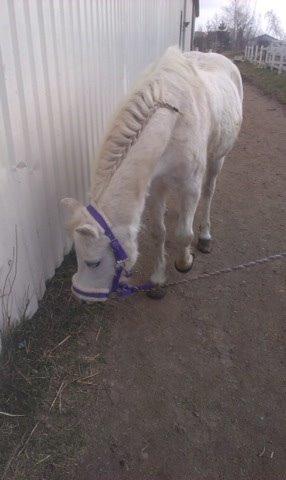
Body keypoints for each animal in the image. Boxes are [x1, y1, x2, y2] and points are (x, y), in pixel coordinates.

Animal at [61, 45, 242, 300]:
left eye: (93, 262)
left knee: (208, 193)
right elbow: (159, 232)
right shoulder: (156, 185)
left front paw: (184, 262)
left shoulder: (190, 185)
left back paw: (205, 236)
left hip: (217, 159)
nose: (83, 295)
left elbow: (184, 234)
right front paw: (157, 280)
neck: (176, 119)